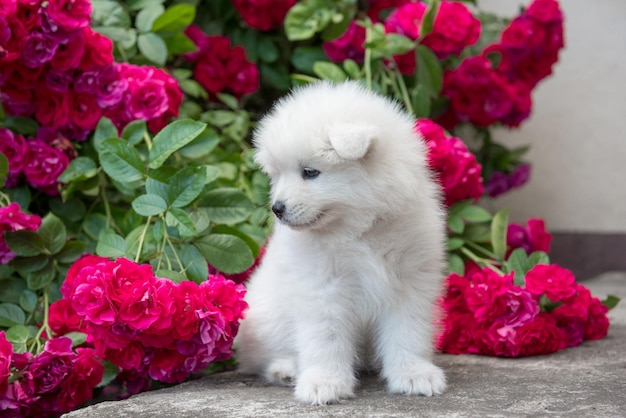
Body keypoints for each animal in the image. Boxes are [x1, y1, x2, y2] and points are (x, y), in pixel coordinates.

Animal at [234, 80, 444, 404]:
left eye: (310, 172)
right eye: (277, 175)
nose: (277, 208)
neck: (359, 231)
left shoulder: (410, 282)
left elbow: (408, 331)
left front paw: (414, 374)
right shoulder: (322, 286)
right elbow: (325, 337)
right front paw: (325, 382)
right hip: (265, 318)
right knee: (260, 356)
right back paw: (286, 369)